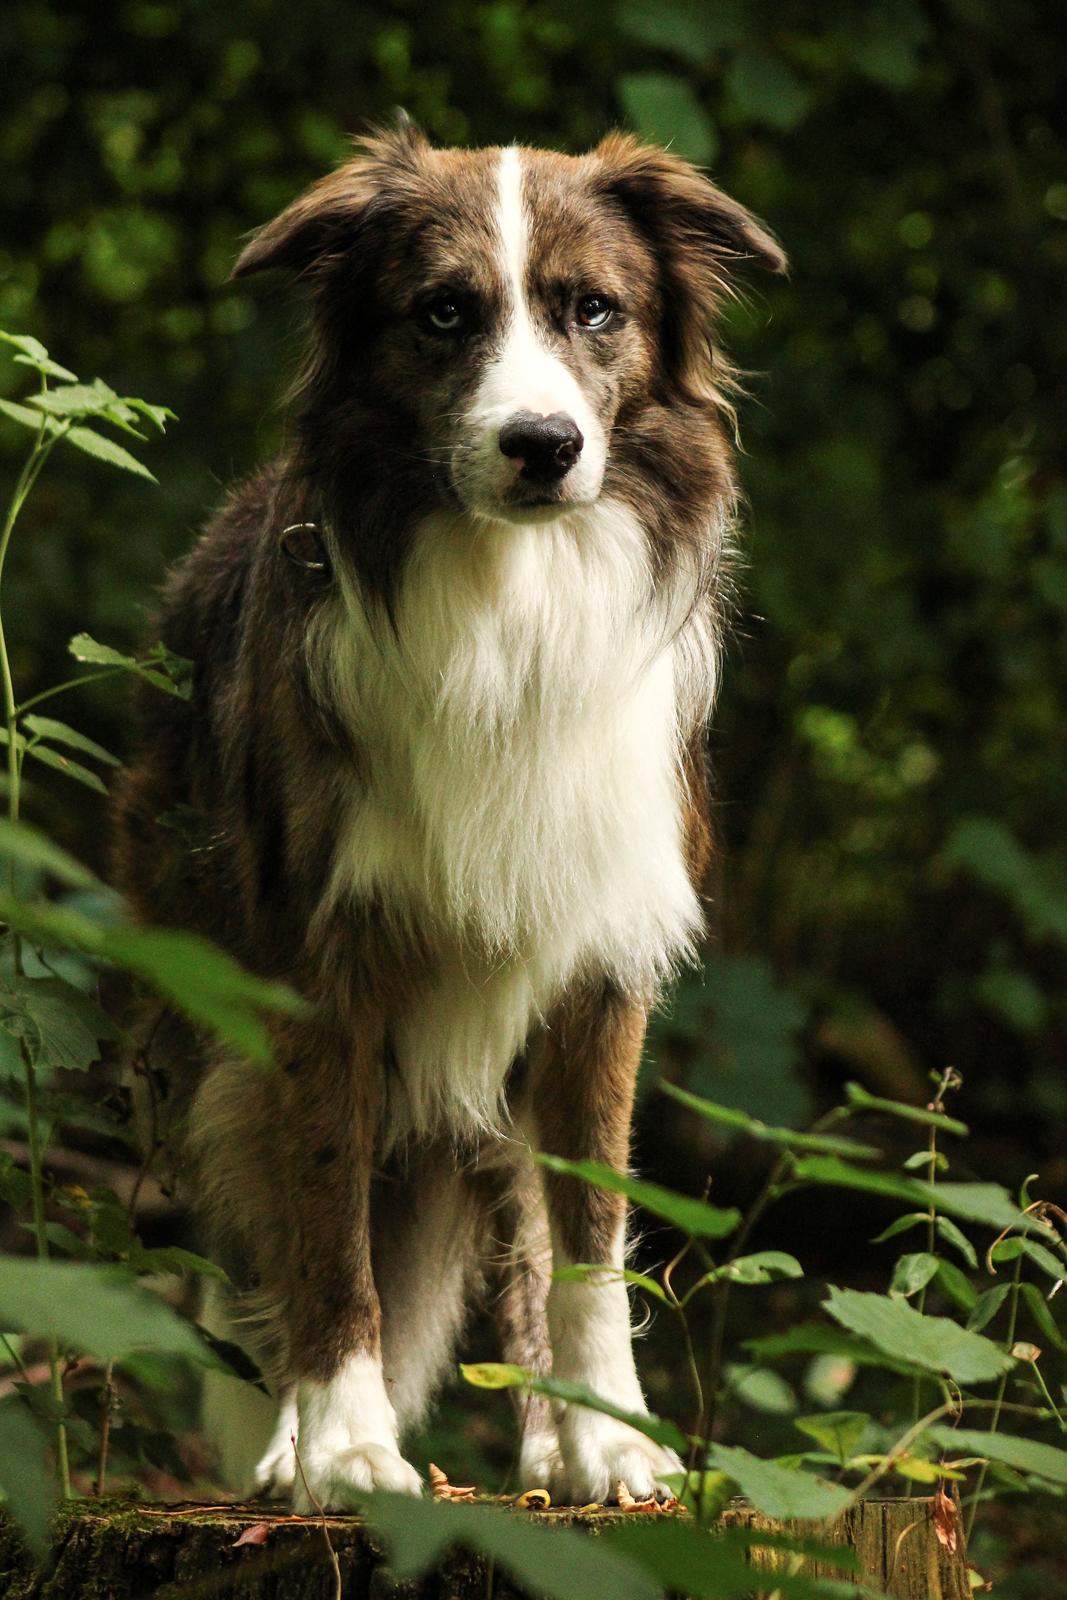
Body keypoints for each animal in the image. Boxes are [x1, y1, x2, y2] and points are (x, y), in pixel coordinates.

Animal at [112, 124, 783, 1510]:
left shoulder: (596, 962)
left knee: (517, 1223)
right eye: (441, 313)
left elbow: (585, 1231)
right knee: (260, 1237)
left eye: (595, 310)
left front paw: (607, 1439)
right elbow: (326, 1225)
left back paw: (543, 1444)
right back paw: (279, 1440)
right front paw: (341, 1444)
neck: (508, 606)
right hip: (200, 1026)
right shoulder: (318, 970)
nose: (541, 444)